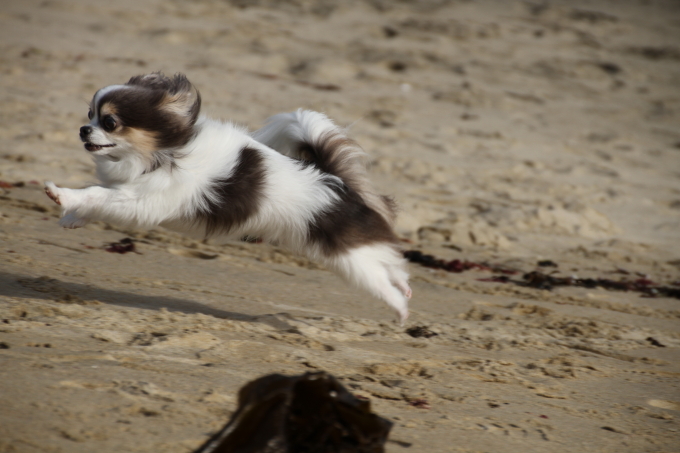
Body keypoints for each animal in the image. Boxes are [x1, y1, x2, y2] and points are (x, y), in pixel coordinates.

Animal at [46, 72, 414, 322]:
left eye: (109, 122)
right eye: (89, 114)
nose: (83, 129)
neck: (164, 151)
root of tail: (335, 181)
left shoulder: (143, 202)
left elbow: (96, 193)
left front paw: (61, 196)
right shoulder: (131, 194)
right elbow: (99, 196)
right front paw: (72, 218)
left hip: (349, 260)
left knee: (381, 280)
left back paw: (401, 309)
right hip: (347, 254)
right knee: (389, 265)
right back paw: (405, 289)